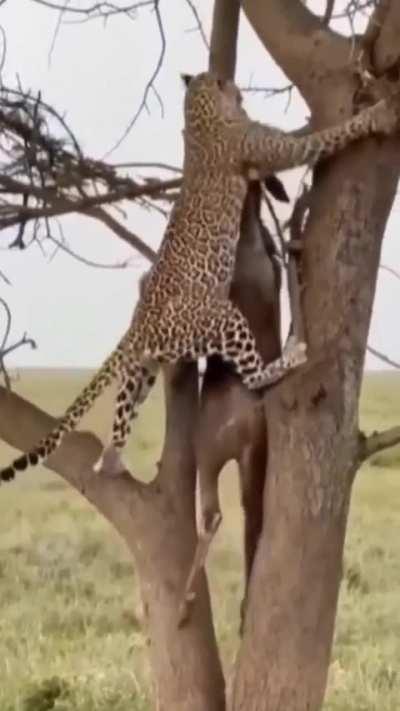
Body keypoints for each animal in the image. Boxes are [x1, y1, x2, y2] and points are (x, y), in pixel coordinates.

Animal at [1, 70, 399, 483]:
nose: (239, 93)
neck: (199, 114)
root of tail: (137, 326)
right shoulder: (267, 145)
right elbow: (320, 139)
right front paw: (376, 114)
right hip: (220, 318)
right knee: (252, 377)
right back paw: (290, 354)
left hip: (144, 366)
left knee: (125, 409)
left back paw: (111, 461)